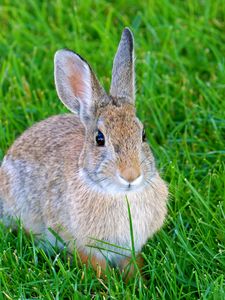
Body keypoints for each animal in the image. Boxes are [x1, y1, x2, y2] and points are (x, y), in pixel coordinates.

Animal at [0, 28, 167, 276]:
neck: (119, 194)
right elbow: (96, 267)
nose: (131, 175)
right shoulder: (83, 244)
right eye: (99, 139)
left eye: (143, 135)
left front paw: (138, 280)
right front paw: (107, 283)